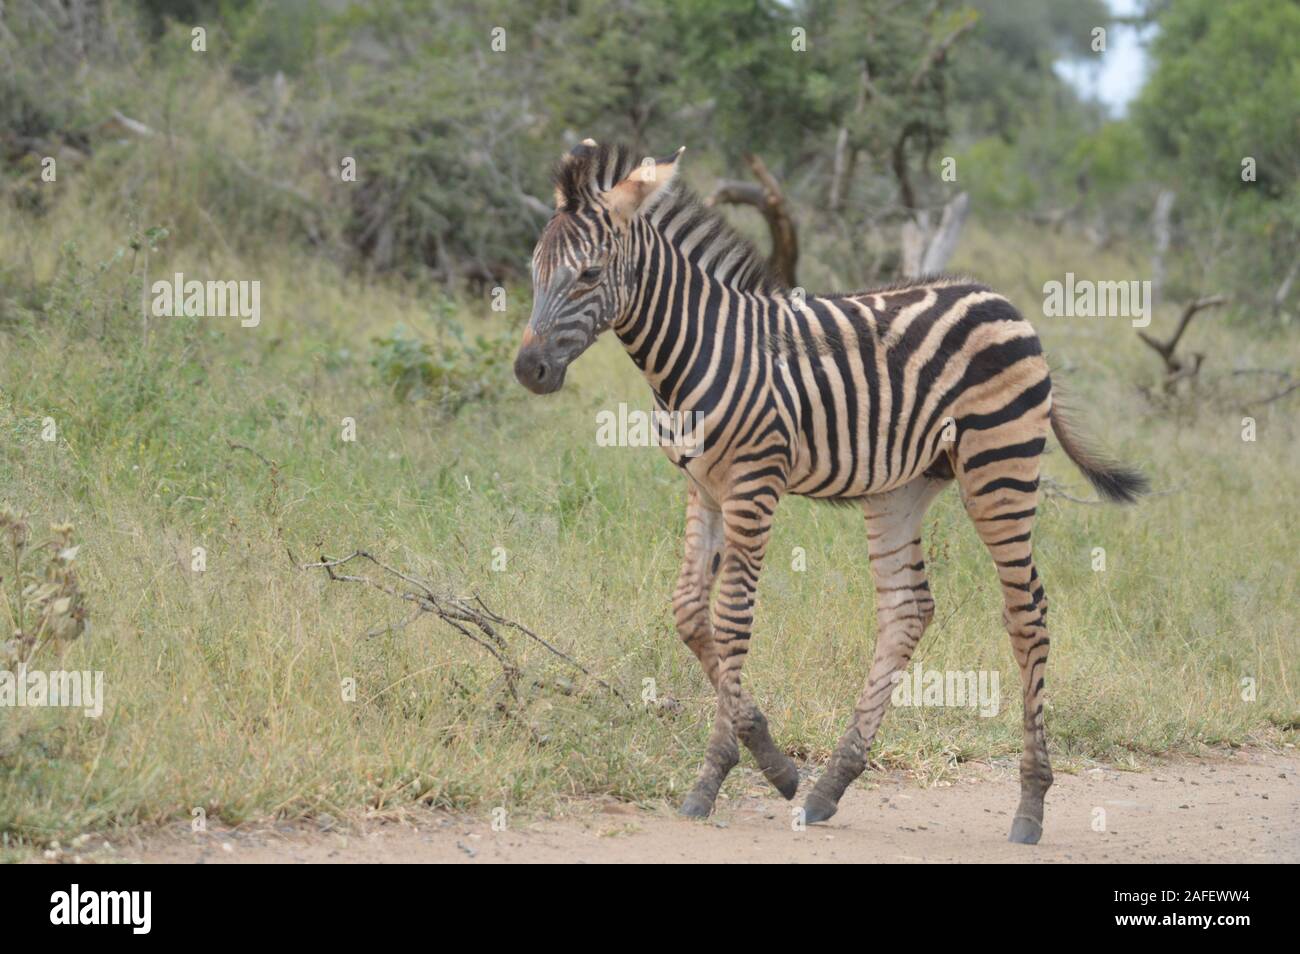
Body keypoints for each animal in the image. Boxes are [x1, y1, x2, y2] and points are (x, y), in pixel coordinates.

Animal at [512, 141, 1144, 842]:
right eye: (535, 272)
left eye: (590, 275)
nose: (528, 370)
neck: (692, 351)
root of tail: (1002, 299)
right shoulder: (703, 489)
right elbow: (688, 612)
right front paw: (776, 763)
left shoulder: (754, 484)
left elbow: (730, 620)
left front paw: (714, 776)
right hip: (901, 489)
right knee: (907, 608)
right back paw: (828, 788)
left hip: (999, 467)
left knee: (1026, 611)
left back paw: (1030, 806)